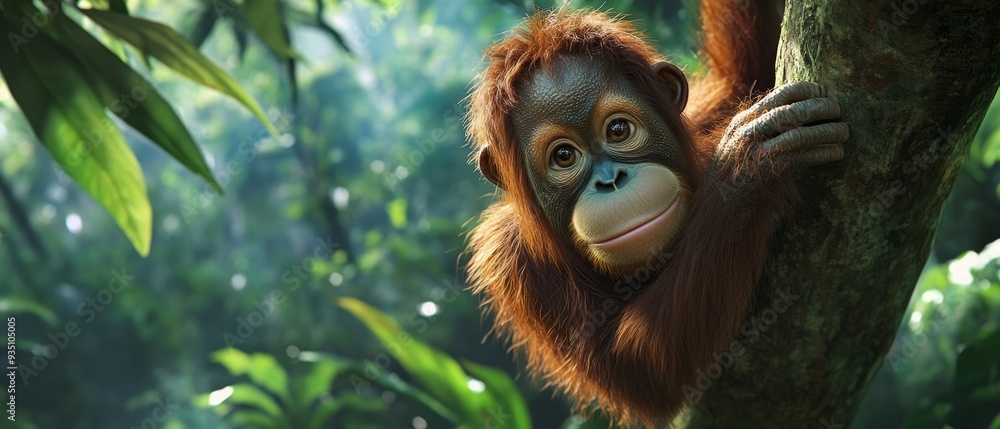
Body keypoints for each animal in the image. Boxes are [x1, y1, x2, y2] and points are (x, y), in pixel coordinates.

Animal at [464, 3, 848, 428]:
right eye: (563, 156)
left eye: (618, 130)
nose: (610, 180)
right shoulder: (509, 260)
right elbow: (643, 370)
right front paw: (744, 166)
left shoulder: (706, 110)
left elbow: (747, 71)